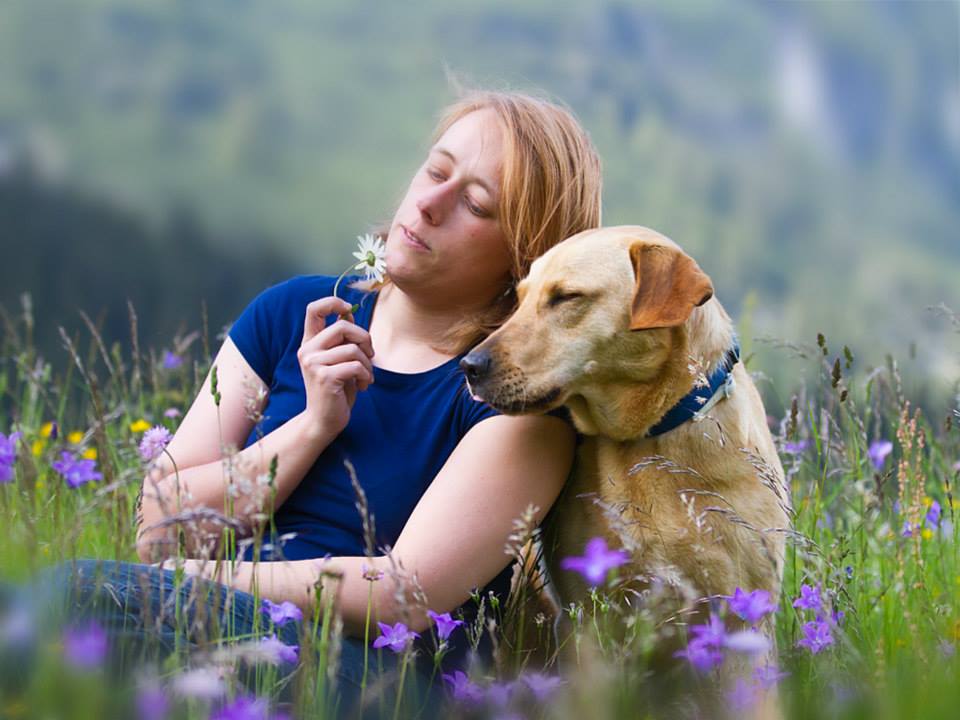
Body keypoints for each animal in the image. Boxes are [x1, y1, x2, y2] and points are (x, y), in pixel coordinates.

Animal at [464, 229, 788, 652]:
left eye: (566, 297)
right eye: (519, 300)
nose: (469, 366)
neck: (651, 435)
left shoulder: (745, 615)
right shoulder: (589, 621)